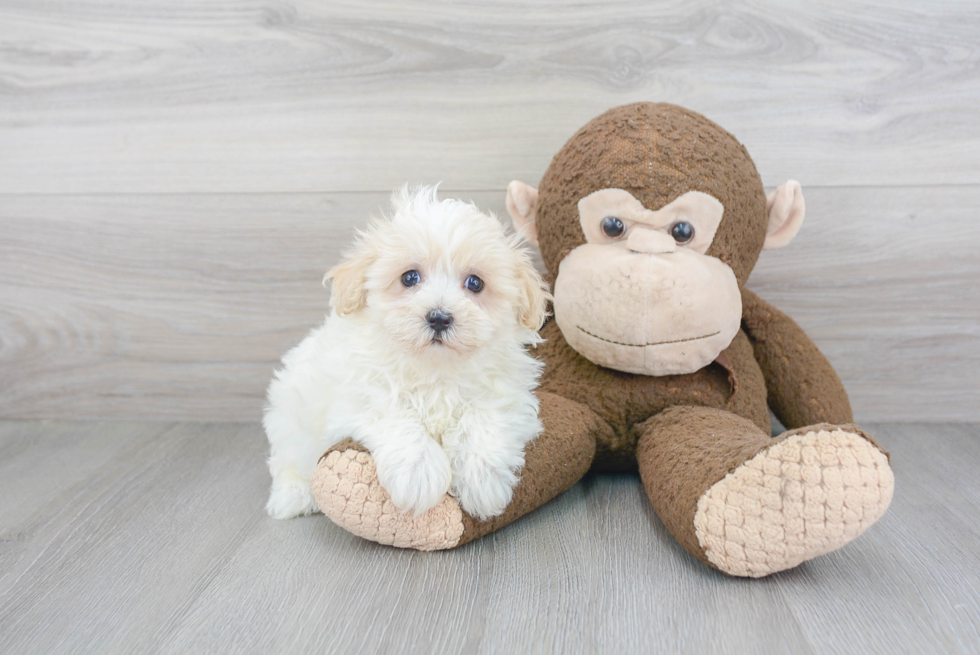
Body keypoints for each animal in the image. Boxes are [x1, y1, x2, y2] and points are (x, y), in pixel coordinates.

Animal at [260, 186, 552, 524]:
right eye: (409, 278)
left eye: (475, 283)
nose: (439, 317)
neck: (435, 369)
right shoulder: (358, 396)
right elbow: (395, 415)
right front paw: (419, 473)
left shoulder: (506, 395)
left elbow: (484, 418)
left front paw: (483, 480)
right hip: (289, 418)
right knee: (287, 460)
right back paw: (292, 495)